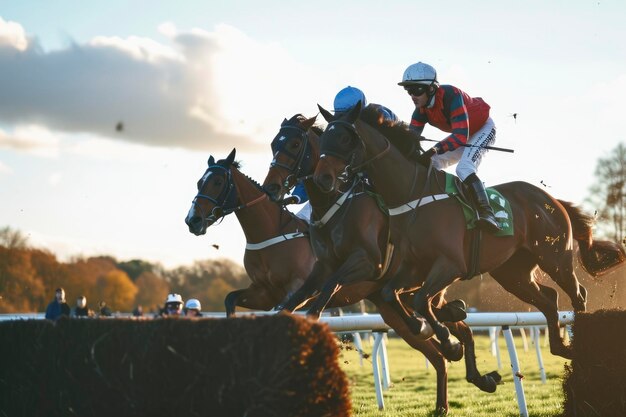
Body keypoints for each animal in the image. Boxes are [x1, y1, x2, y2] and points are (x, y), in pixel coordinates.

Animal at [183, 150, 314, 316]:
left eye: (218, 182)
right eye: (199, 183)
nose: (192, 220)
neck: (268, 235)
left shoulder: (300, 285)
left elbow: (282, 307)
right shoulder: (264, 293)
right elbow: (230, 298)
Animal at [260, 114, 500, 412]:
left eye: (294, 143)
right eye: (274, 144)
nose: (271, 187)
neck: (334, 202)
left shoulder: (366, 263)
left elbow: (322, 297)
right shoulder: (322, 267)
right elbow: (292, 303)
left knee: (439, 327)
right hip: (400, 306)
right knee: (444, 339)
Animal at [312, 102, 624, 360]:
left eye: (345, 138)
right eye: (323, 139)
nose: (322, 179)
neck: (410, 194)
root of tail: (552, 200)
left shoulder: (450, 265)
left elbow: (420, 299)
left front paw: (446, 339)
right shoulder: (413, 266)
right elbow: (393, 294)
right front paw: (433, 332)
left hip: (556, 258)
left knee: (578, 293)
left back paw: (580, 342)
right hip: (513, 272)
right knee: (548, 299)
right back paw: (560, 346)